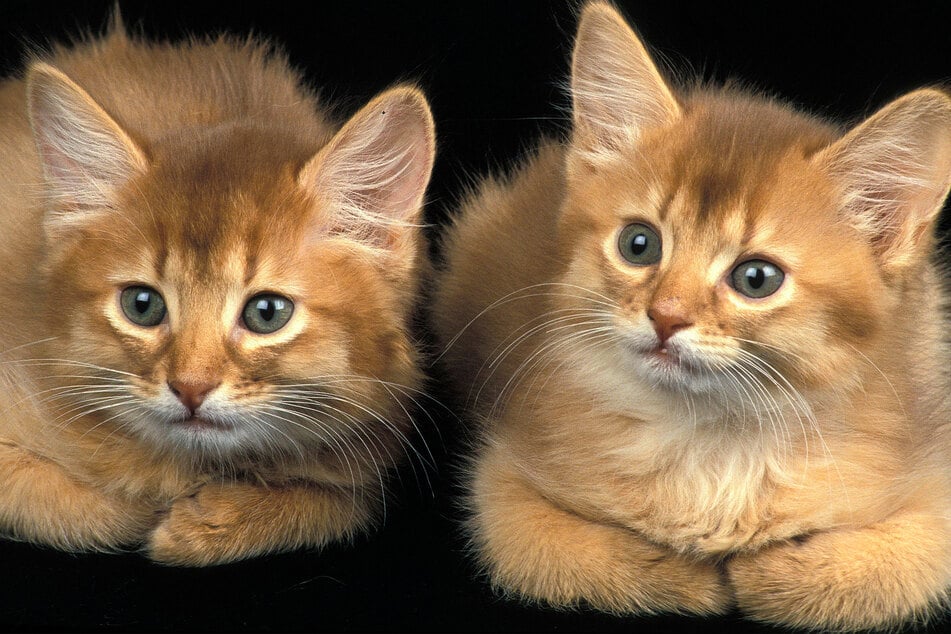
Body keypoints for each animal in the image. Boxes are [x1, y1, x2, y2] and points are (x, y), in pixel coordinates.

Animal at [0, 18, 436, 564]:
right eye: (142, 306)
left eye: (267, 313)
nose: (190, 388)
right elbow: (86, 508)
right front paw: (156, 507)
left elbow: (342, 505)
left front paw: (213, 521)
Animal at [434, 2, 951, 628]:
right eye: (639, 245)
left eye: (757, 279)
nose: (665, 316)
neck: (712, 444)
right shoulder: (506, 488)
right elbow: (567, 554)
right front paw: (690, 577)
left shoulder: (931, 487)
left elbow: (882, 570)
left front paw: (763, 571)